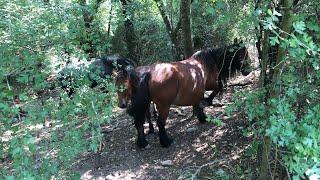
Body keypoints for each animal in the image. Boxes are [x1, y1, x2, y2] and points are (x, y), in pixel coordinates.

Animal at [119, 43, 250, 148]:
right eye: (243, 55)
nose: (248, 71)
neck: (207, 62)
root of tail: (149, 73)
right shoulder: (210, 85)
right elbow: (217, 89)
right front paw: (207, 103)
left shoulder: (198, 90)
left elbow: (198, 101)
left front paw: (202, 116)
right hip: (164, 106)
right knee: (160, 123)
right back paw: (165, 142)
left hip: (144, 104)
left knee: (139, 122)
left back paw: (142, 143)